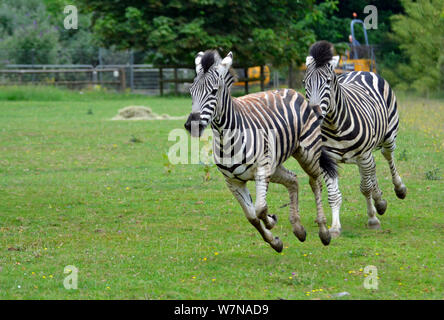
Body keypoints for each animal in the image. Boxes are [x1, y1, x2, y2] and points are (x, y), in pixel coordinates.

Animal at [184, 50, 336, 252]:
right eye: (191, 91)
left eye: (214, 92)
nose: (191, 126)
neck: (227, 139)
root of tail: (287, 89)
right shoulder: (233, 182)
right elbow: (252, 216)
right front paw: (275, 241)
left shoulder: (262, 171)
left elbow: (260, 208)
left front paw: (271, 221)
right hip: (275, 164)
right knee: (293, 180)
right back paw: (298, 228)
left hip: (307, 154)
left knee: (315, 183)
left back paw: (324, 232)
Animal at [304, 40, 408, 236]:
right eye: (304, 83)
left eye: (327, 82)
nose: (314, 114)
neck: (334, 125)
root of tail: (361, 71)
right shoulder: (327, 161)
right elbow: (334, 195)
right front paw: (335, 227)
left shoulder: (364, 154)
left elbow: (365, 188)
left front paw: (372, 219)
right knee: (372, 168)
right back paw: (379, 201)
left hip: (388, 137)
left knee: (387, 155)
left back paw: (399, 188)